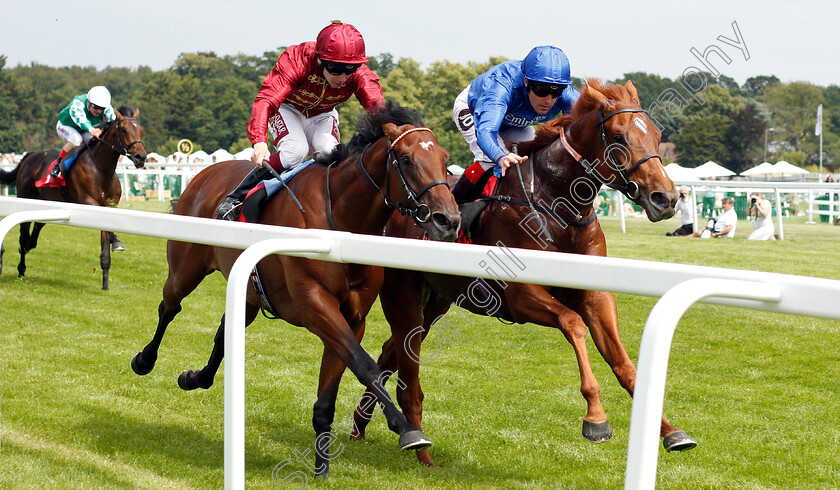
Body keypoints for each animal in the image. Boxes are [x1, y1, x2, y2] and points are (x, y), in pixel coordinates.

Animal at [0, 106, 146, 290]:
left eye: (141, 130)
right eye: (125, 130)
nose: (141, 157)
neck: (101, 168)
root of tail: (30, 156)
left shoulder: (109, 207)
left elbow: (106, 249)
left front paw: (105, 285)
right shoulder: (89, 203)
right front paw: (117, 243)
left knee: (36, 227)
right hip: (24, 198)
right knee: (23, 235)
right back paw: (21, 268)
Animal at [129, 101, 462, 476]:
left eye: (445, 158)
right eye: (405, 159)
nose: (449, 221)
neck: (340, 221)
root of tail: (204, 174)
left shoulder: (352, 318)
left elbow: (332, 392)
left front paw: (321, 468)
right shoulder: (315, 305)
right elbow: (366, 367)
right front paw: (407, 430)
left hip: (249, 292)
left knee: (224, 332)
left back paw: (195, 378)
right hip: (186, 268)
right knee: (169, 306)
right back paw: (144, 359)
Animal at [352, 78, 700, 466]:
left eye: (656, 134)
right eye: (619, 136)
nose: (665, 198)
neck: (557, 205)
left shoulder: (594, 294)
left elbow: (623, 362)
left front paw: (670, 431)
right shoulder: (520, 297)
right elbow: (573, 324)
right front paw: (596, 417)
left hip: (437, 301)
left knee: (392, 349)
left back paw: (362, 426)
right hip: (404, 294)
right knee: (400, 351)